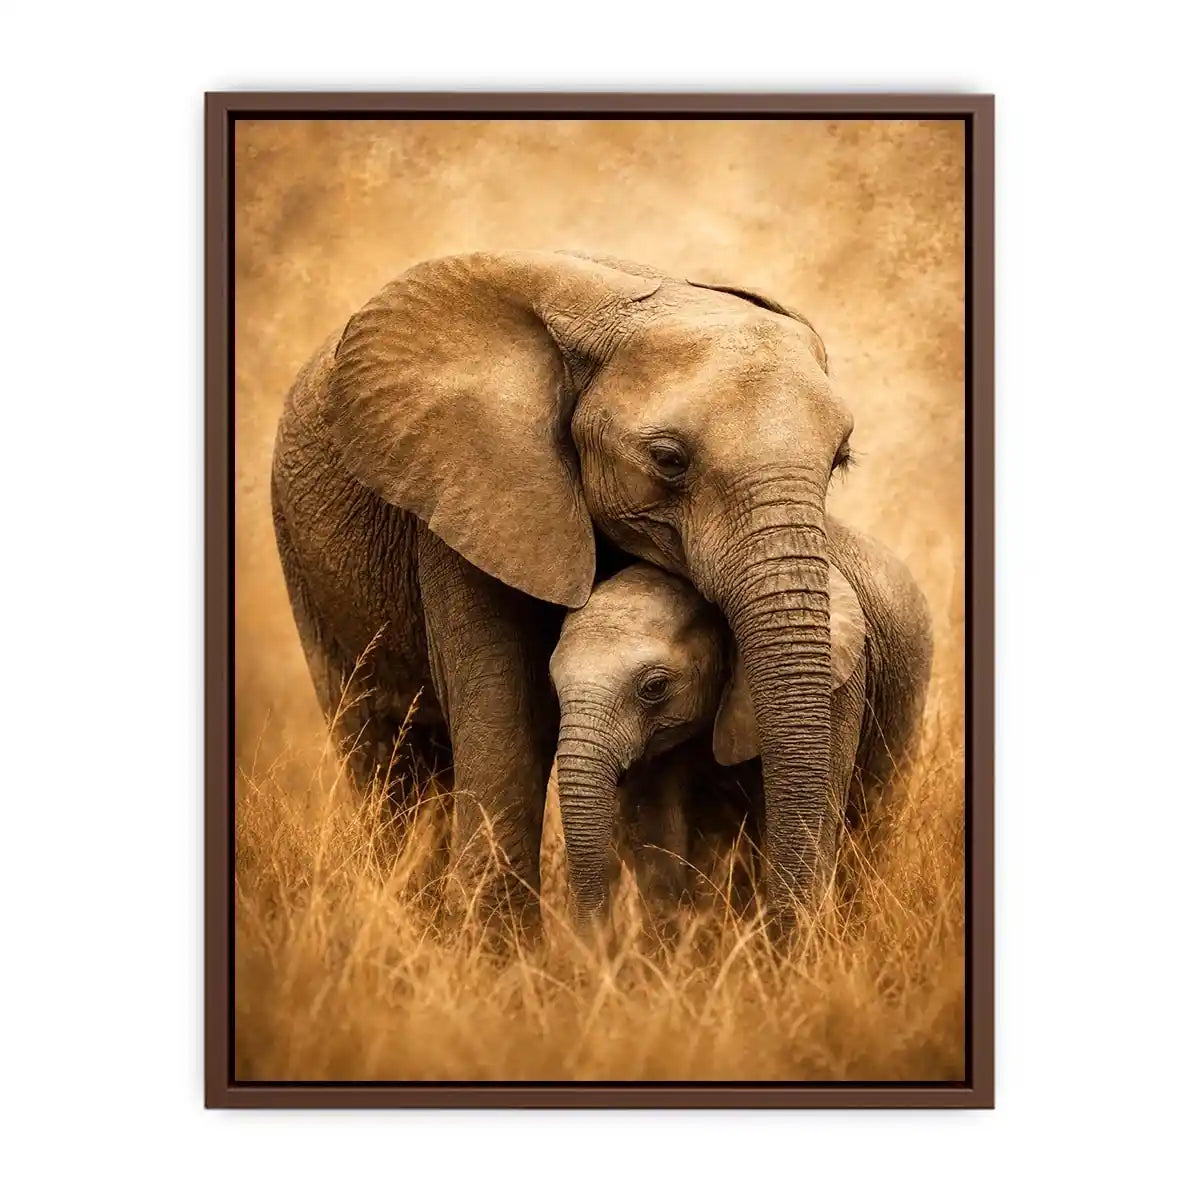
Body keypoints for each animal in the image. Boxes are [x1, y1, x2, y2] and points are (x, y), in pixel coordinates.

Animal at [271, 249, 875, 931]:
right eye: (669, 460)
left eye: (840, 460)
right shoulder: (471, 489)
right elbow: (507, 720)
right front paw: (501, 953)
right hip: (301, 554)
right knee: (378, 752)